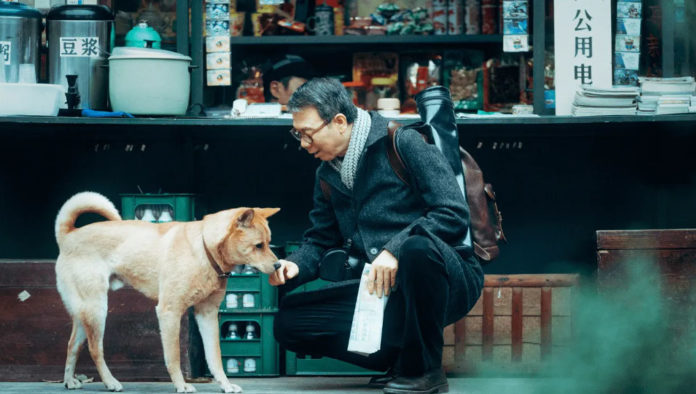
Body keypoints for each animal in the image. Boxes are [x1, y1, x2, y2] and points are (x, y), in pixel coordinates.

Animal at [55, 191, 280, 390]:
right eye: (258, 245)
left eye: (269, 243)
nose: (278, 265)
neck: (204, 249)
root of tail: (68, 234)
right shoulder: (169, 312)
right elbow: (173, 357)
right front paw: (181, 385)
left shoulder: (207, 314)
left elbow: (215, 357)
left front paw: (225, 385)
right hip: (97, 310)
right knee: (95, 350)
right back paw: (110, 382)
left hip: (85, 313)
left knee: (71, 345)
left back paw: (70, 381)